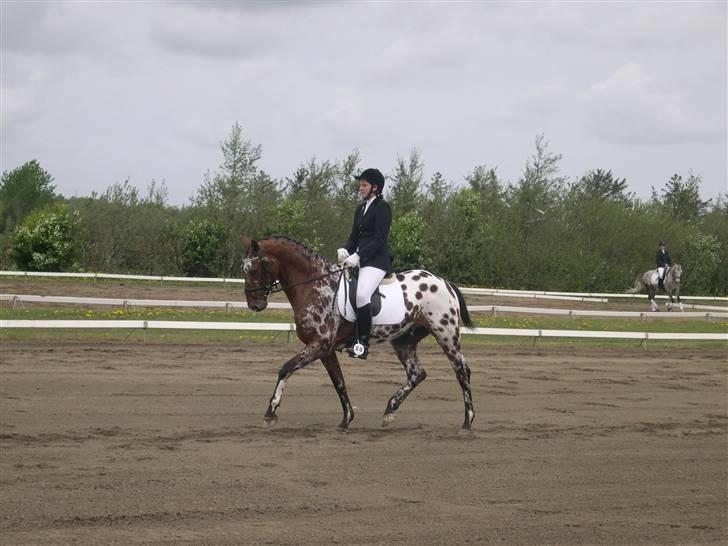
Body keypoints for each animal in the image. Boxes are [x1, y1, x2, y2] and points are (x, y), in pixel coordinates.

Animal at [242, 234, 474, 430]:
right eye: (243, 269)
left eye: (253, 270)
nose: (255, 305)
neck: (315, 285)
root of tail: (445, 282)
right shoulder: (326, 350)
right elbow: (338, 382)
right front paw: (346, 420)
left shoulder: (319, 345)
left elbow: (286, 369)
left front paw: (270, 412)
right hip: (403, 341)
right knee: (417, 373)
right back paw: (390, 410)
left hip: (446, 334)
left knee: (462, 371)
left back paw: (467, 422)